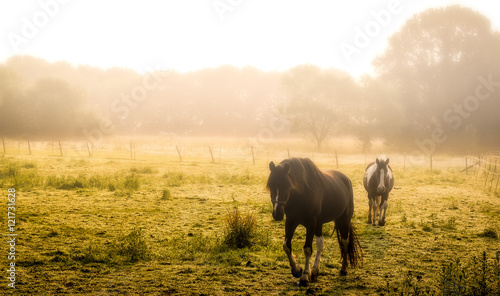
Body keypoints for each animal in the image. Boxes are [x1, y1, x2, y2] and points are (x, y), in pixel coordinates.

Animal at [268, 158, 362, 286]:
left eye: (287, 185)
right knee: (321, 244)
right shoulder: (291, 221)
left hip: (344, 220)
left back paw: (343, 269)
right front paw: (296, 270)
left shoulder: (311, 223)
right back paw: (315, 271)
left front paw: (304, 276)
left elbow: (307, 249)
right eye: (270, 185)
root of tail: (346, 179)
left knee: (345, 242)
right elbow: (286, 246)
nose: (277, 214)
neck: (302, 193)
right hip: (320, 224)